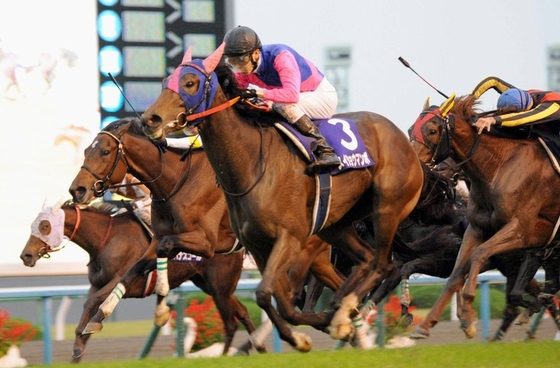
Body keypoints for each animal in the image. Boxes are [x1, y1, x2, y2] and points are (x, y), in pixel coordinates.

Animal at [19, 200, 252, 360]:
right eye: (33, 225)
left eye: (45, 226)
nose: (26, 256)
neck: (106, 240)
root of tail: (233, 240)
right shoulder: (96, 284)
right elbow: (89, 306)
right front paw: (79, 346)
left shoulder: (122, 281)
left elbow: (94, 303)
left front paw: (83, 337)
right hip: (211, 286)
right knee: (242, 312)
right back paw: (256, 346)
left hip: (219, 287)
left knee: (230, 322)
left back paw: (226, 355)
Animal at [140, 43, 424, 350]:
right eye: (163, 83)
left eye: (190, 83)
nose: (149, 119)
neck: (252, 163)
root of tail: (403, 138)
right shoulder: (258, 246)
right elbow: (278, 301)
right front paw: (303, 334)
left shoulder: (290, 237)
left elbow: (267, 295)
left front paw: (313, 330)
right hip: (335, 225)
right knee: (366, 259)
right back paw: (341, 309)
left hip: (387, 208)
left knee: (383, 264)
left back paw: (343, 311)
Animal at [406, 94, 560, 340]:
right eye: (412, 128)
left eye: (432, 130)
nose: (414, 164)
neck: (498, 167)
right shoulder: (477, 228)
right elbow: (457, 273)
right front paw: (427, 325)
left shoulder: (521, 230)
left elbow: (479, 254)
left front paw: (468, 311)